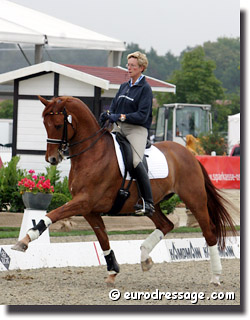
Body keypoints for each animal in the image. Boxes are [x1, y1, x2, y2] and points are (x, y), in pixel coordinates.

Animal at [13, 95, 236, 284]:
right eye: (45, 124)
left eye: (59, 125)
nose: (51, 159)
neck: (92, 153)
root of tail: (190, 155)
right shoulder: (89, 210)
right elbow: (102, 238)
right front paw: (112, 271)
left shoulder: (83, 201)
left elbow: (53, 214)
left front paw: (25, 239)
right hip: (153, 204)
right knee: (166, 225)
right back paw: (145, 257)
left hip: (194, 200)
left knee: (209, 234)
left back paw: (216, 276)